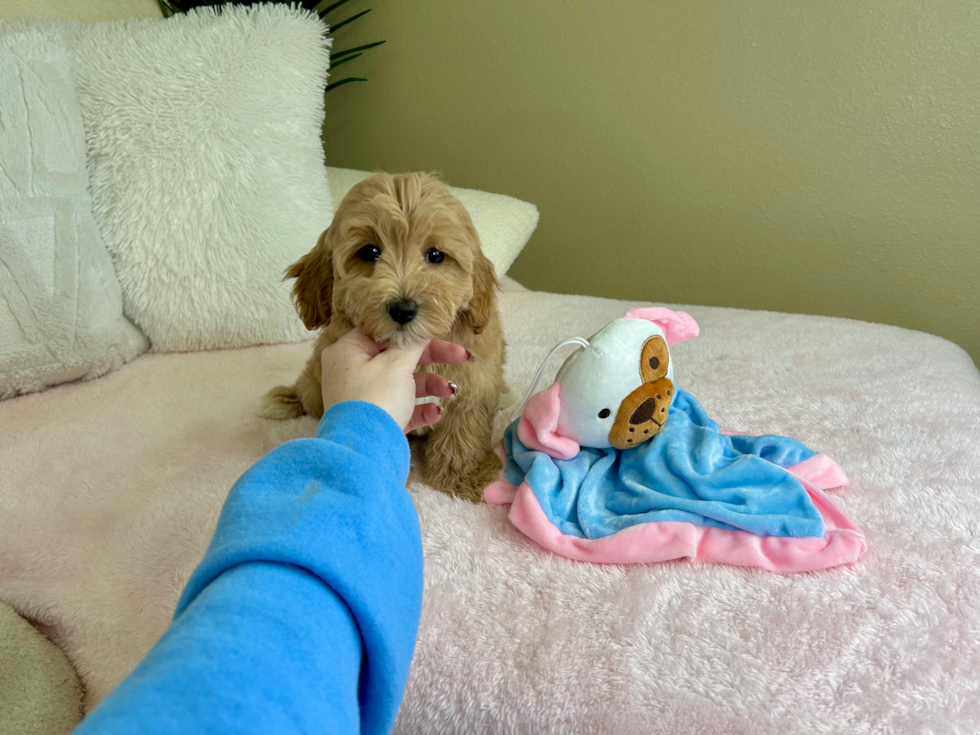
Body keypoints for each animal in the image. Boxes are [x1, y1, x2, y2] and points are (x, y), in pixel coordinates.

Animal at [260, 174, 506, 500]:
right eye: (369, 252)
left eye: (435, 255)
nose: (403, 309)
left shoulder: (474, 384)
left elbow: (463, 431)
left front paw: (461, 478)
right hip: (316, 384)